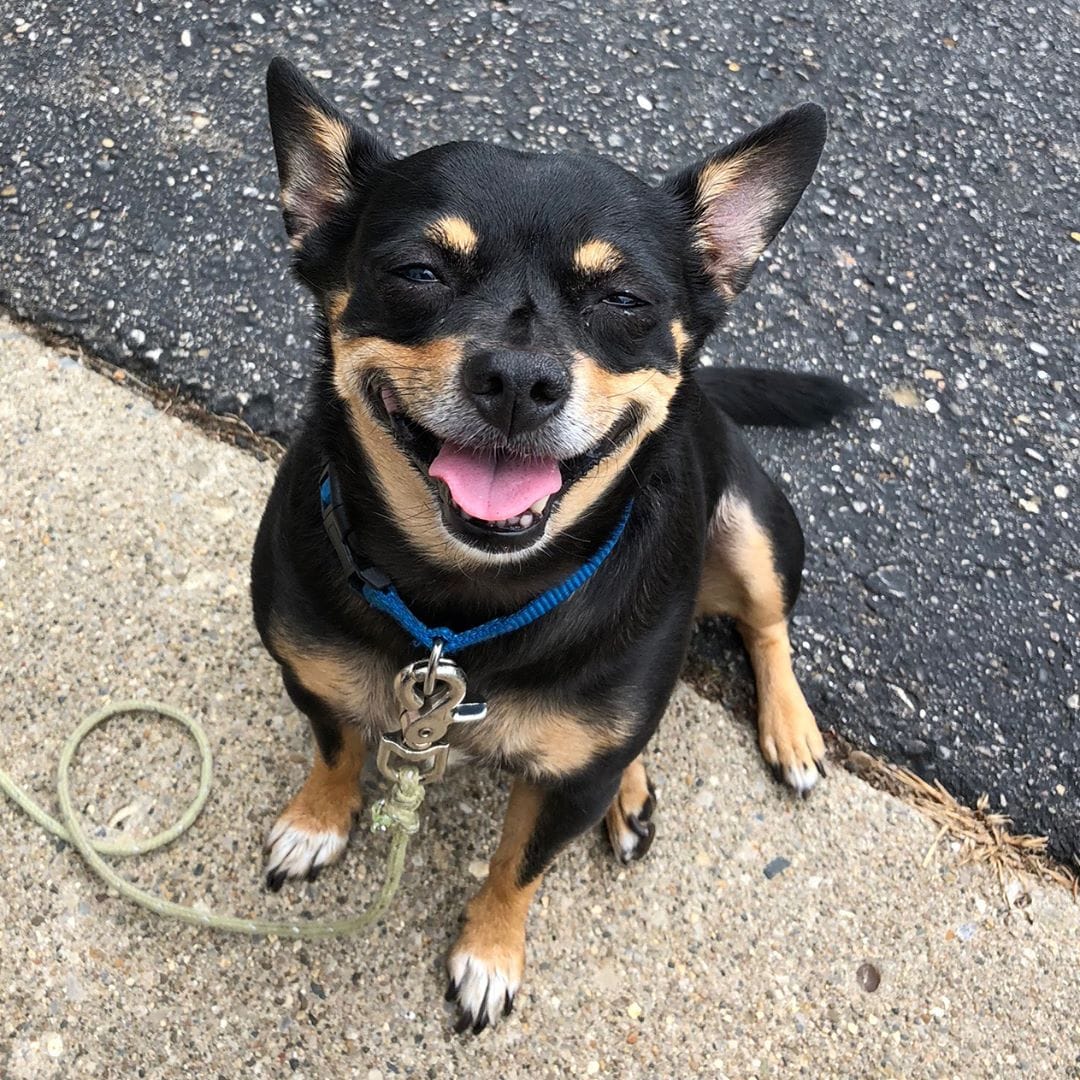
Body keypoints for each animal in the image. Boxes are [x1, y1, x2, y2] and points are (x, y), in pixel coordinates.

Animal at [252, 57, 864, 1034]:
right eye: (417, 272)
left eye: (625, 300)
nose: (516, 378)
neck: (460, 601)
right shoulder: (310, 676)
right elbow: (338, 750)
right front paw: (318, 820)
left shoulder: (564, 791)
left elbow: (518, 865)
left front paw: (490, 954)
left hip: (755, 528)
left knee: (762, 630)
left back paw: (784, 731)